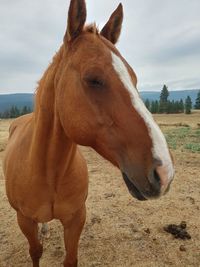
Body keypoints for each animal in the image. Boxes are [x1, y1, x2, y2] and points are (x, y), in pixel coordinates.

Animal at [3, 0, 174, 267]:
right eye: (93, 79)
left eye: (134, 79)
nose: (164, 173)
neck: (47, 172)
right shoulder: (25, 220)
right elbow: (36, 252)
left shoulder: (76, 219)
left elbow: (70, 259)